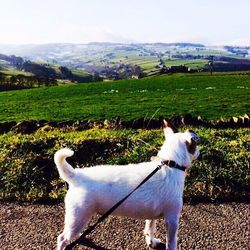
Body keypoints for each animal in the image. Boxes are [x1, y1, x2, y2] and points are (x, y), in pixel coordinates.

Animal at [54, 120, 199, 249]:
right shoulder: (172, 219)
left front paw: (151, 242)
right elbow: (172, 242)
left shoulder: (152, 215)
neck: (171, 164)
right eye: (196, 145)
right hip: (78, 216)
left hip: (80, 218)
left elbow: (150, 228)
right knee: (62, 238)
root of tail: (76, 176)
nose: (199, 151)